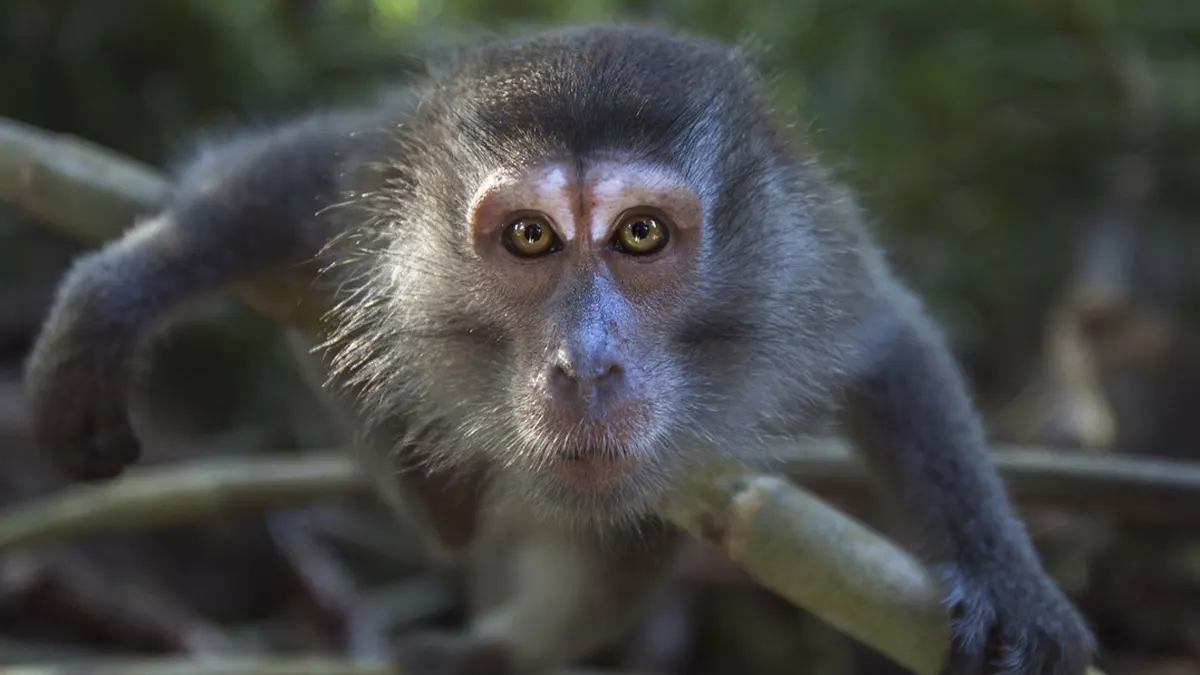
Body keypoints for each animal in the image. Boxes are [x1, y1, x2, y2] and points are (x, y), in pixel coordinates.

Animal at [23, 22, 1096, 675]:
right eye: (531, 237)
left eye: (642, 235)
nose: (584, 366)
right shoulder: (381, 183)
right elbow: (274, 178)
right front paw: (110, 298)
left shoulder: (801, 252)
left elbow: (889, 344)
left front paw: (1006, 576)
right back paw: (443, 499)